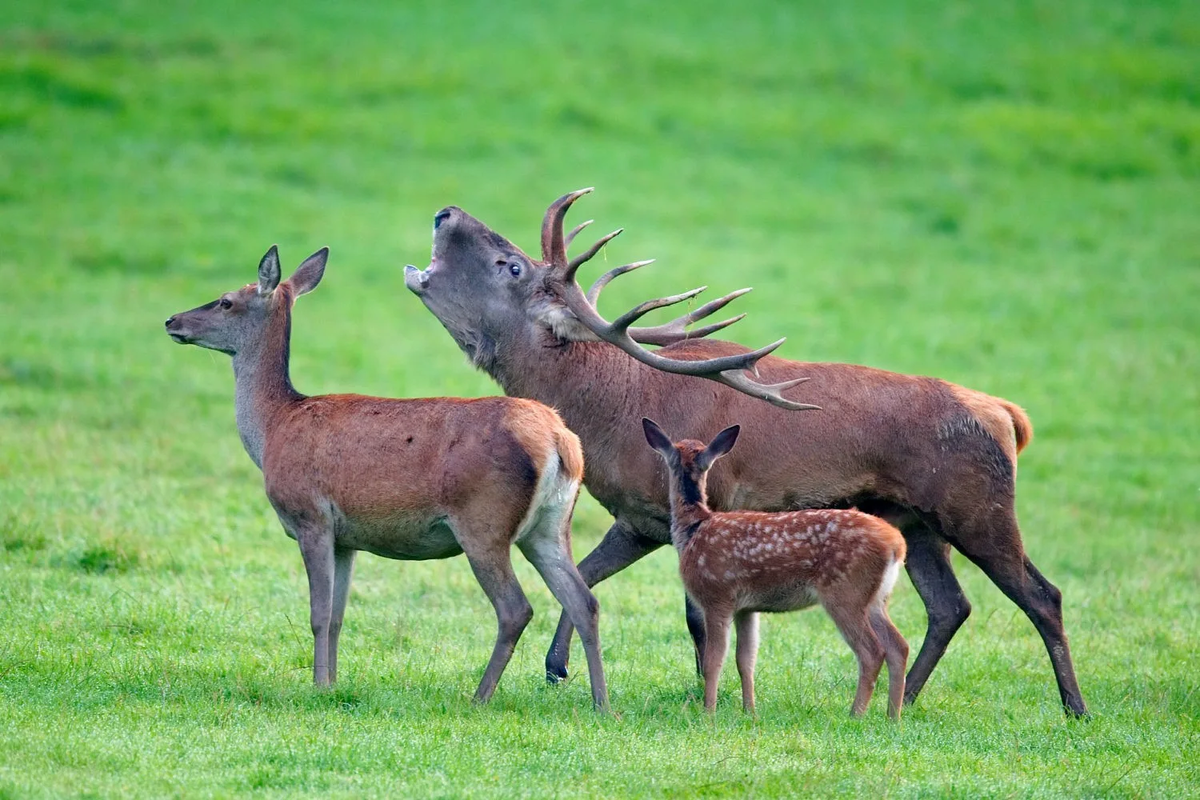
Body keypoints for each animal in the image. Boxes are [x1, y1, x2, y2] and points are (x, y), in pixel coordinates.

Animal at [166, 244, 609, 705]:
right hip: (551, 524)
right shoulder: (346, 539)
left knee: (515, 608)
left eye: (226, 301)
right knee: (584, 602)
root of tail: (560, 439)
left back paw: (480, 697)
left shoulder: (310, 516)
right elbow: (338, 616)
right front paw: (332, 682)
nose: (172, 321)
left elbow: (318, 613)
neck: (274, 427)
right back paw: (601, 703)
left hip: (483, 521)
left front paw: (317, 686)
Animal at [643, 419, 902, 719]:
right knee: (899, 646)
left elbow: (714, 660)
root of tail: (896, 544)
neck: (695, 528)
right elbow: (745, 659)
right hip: (876, 598)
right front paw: (750, 711)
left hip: (845, 591)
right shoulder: (746, 608)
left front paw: (709, 712)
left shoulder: (716, 595)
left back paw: (856, 714)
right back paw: (893, 716)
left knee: (872, 651)